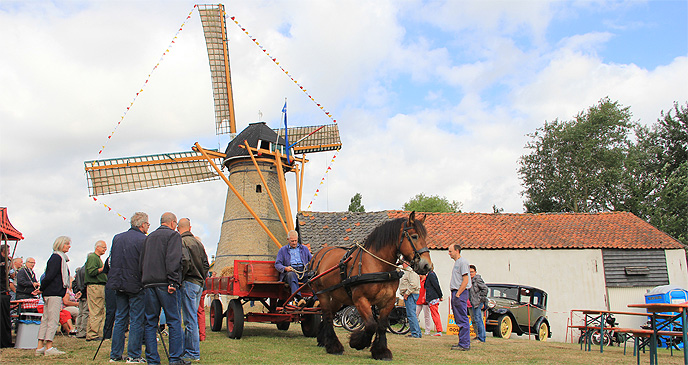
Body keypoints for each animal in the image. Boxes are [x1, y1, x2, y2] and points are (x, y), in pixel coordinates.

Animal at [310, 210, 432, 358]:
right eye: (414, 236)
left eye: (424, 237)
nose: (427, 265)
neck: (378, 265)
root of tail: (319, 254)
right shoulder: (360, 299)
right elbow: (370, 324)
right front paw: (357, 342)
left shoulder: (388, 300)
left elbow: (382, 325)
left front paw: (381, 351)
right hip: (323, 294)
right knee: (327, 316)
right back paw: (334, 346)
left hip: (338, 297)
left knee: (330, 315)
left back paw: (323, 339)